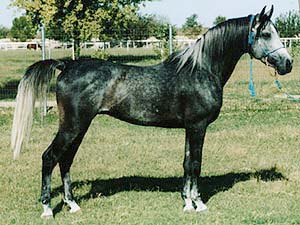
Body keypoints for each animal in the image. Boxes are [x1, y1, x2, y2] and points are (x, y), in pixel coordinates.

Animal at [11, 6, 292, 218]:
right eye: (266, 33)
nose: (288, 63)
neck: (200, 69)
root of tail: (66, 64)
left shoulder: (190, 128)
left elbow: (186, 163)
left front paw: (187, 202)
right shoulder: (198, 126)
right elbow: (196, 163)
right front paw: (199, 204)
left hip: (78, 128)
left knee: (66, 160)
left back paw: (72, 205)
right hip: (72, 126)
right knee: (50, 157)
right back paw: (48, 209)